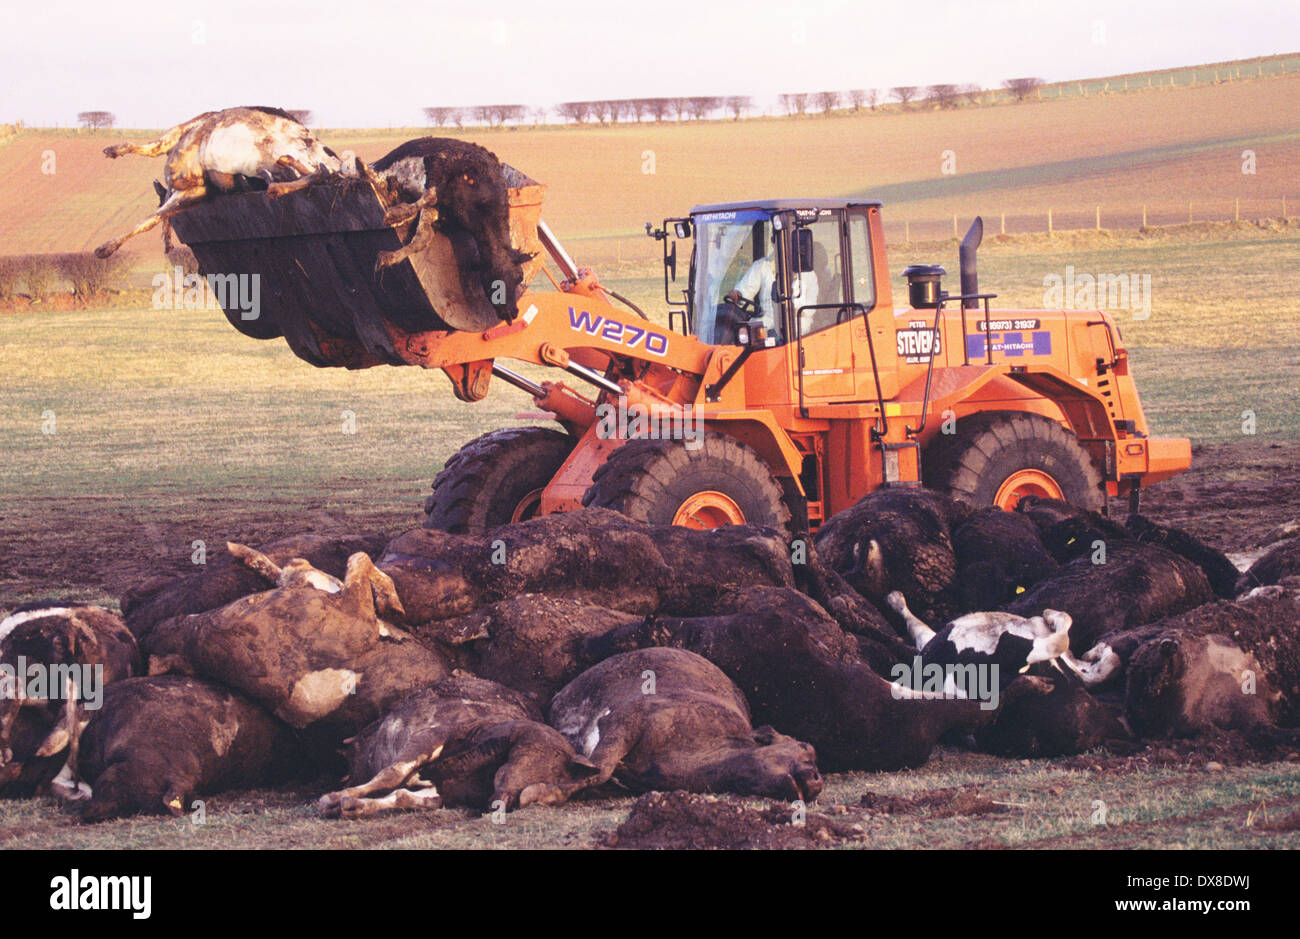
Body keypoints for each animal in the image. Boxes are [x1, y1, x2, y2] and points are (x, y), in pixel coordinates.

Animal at [94, 106, 342, 258]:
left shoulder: (188, 132)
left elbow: (153, 147)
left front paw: (105, 248)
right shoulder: (193, 192)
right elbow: (156, 217)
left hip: (290, 151)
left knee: (317, 171)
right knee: (315, 173)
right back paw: (279, 181)